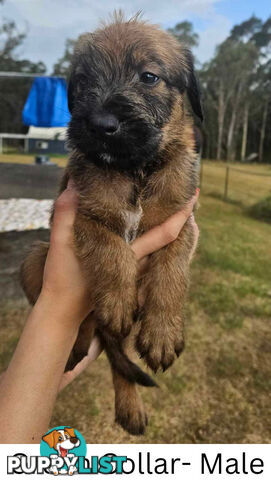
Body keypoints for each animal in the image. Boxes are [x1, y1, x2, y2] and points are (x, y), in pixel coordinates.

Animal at [20, 13, 203, 436]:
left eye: (149, 77)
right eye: (84, 80)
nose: (101, 123)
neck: (135, 170)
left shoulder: (182, 223)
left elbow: (171, 271)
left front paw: (163, 330)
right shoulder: (85, 214)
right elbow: (113, 249)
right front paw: (118, 299)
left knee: (114, 349)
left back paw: (129, 407)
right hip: (35, 258)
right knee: (104, 338)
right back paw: (80, 345)